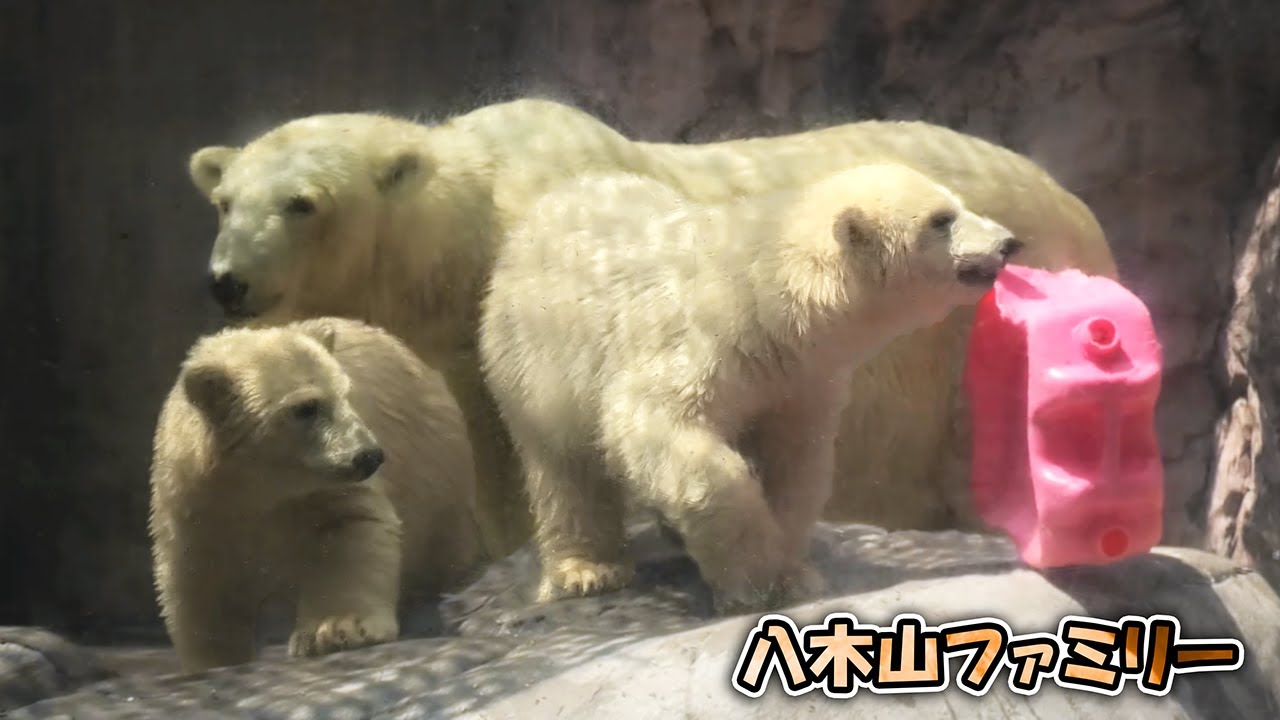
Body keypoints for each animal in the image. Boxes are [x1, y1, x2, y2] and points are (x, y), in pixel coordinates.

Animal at [148, 316, 482, 673]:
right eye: (307, 407)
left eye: (346, 395)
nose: (369, 456)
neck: (259, 488)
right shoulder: (196, 504)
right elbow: (200, 584)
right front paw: (214, 662)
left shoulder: (325, 492)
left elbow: (352, 529)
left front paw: (338, 629)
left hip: (438, 474)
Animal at [185, 97, 1117, 562]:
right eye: (223, 199)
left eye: (301, 204)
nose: (226, 282)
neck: (471, 225)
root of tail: (1074, 201)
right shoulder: (461, 341)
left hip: (970, 334)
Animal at [477, 163, 1023, 610]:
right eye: (941, 219)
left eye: (957, 202)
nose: (1008, 243)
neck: (764, 295)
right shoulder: (697, 345)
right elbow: (661, 430)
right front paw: (757, 582)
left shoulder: (797, 379)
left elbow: (794, 465)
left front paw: (793, 573)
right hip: (531, 358)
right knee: (562, 466)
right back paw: (588, 569)